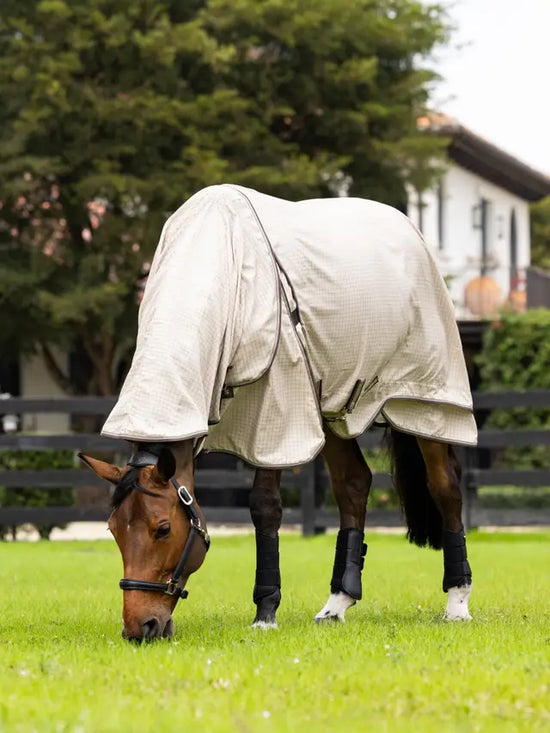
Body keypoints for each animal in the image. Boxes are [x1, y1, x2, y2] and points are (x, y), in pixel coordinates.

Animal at [80, 184, 476, 641]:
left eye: (162, 528)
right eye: (113, 530)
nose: (140, 626)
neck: (221, 270)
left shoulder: (276, 409)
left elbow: (264, 505)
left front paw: (265, 611)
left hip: (425, 400)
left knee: (445, 485)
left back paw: (457, 602)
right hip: (331, 405)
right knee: (353, 485)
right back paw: (337, 603)